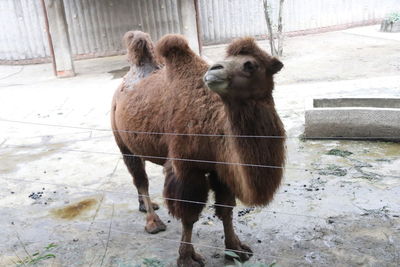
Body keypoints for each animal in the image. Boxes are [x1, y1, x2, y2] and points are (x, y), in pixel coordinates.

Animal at [110, 32, 284, 266]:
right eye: (226, 58)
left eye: (250, 65)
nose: (214, 70)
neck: (214, 125)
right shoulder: (187, 168)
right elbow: (189, 216)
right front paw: (187, 258)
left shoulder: (222, 167)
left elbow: (226, 209)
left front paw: (236, 249)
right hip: (122, 143)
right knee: (141, 180)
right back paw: (153, 222)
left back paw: (145, 206)